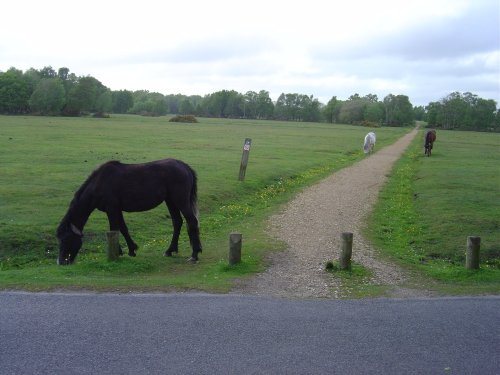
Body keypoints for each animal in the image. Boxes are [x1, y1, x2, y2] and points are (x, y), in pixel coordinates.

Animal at [55, 158, 200, 264]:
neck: (100, 183)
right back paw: (170, 250)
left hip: (180, 201)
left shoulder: (112, 209)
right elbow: (123, 229)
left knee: (192, 221)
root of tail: (184, 166)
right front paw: (131, 249)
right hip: (170, 201)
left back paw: (195, 254)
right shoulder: (116, 210)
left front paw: (118, 252)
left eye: (66, 239)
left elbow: (114, 228)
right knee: (177, 222)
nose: (61, 262)